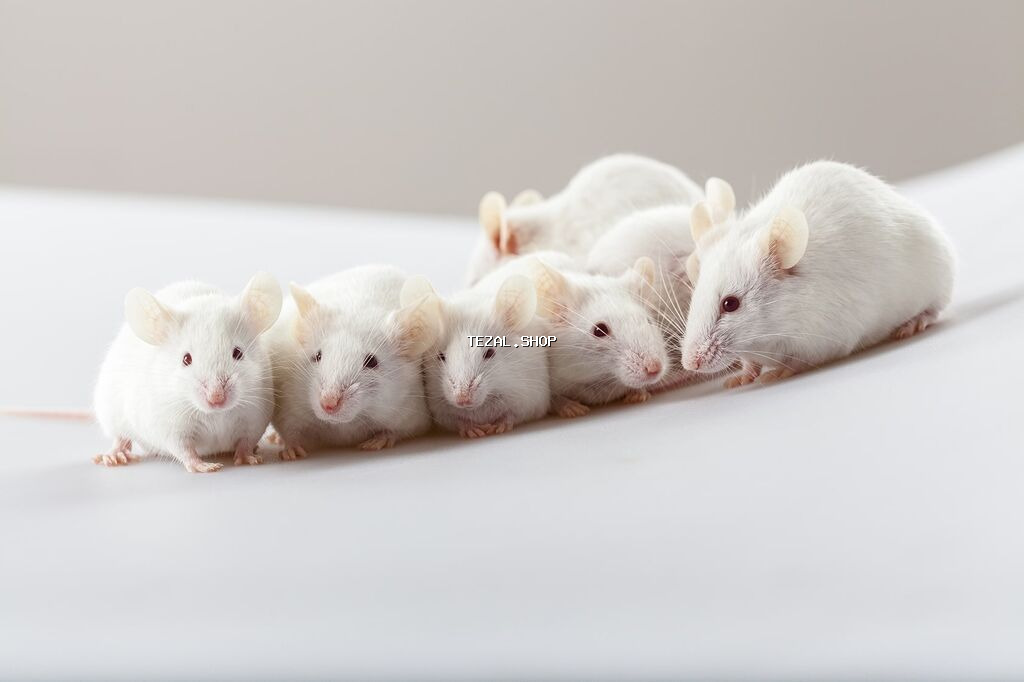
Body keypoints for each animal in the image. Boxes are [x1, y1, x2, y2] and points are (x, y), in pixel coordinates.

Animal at [93, 273, 283, 473]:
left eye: (238, 353)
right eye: (186, 359)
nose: (216, 399)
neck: (216, 414)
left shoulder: (254, 417)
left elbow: (246, 441)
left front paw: (248, 458)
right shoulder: (171, 425)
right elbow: (184, 449)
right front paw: (205, 466)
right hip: (111, 413)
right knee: (120, 437)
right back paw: (113, 455)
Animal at [267, 265, 441, 458]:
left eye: (372, 362)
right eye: (317, 356)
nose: (328, 404)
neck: (344, 423)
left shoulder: (410, 414)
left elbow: (395, 431)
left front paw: (377, 441)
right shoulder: (289, 408)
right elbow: (291, 432)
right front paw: (291, 451)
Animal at [411, 269, 550, 438]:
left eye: (489, 353)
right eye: (441, 356)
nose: (462, 399)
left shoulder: (531, 399)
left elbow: (511, 414)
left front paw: (498, 427)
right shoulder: (440, 411)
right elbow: (456, 420)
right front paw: (473, 430)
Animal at [517, 251, 670, 417]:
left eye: (649, 321)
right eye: (599, 330)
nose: (655, 368)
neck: (598, 379)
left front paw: (639, 394)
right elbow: (554, 400)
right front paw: (572, 409)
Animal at [681, 160, 956, 388]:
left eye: (730, 304)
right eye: (695, 299)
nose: (689, 363)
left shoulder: (825, 339)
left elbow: (799, 361)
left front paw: (778, 372)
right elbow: (751, 363)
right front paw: (740, 377)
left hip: (938, 279)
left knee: (935, 308)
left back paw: (914, 323)